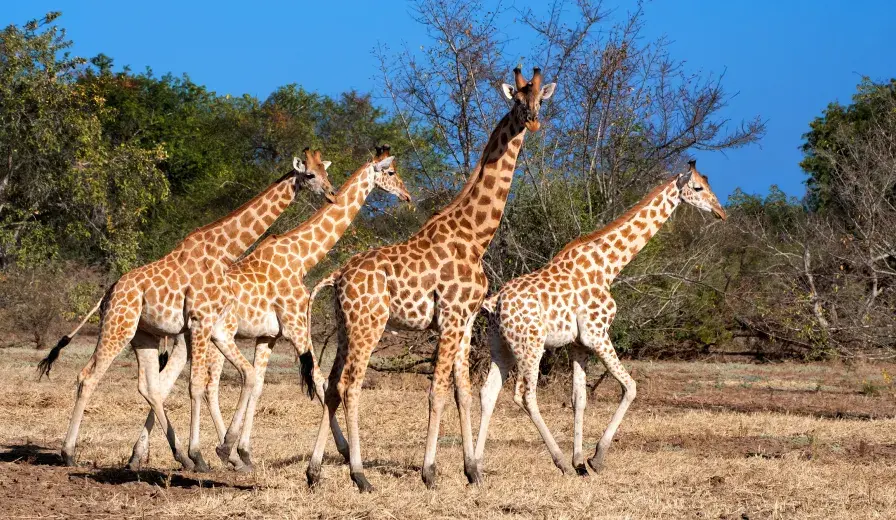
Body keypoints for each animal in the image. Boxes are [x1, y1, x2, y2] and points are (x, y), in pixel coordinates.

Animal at [37, 149, 336, 471]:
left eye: (326, 172)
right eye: (310, 175)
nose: (332, 194)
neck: (222, 252)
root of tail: (108, 293)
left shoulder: (205, 326)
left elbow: (211, 382)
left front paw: (206, 453)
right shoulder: (200, 321)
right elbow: (196, 386)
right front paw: (202, 454)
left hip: (144, 336)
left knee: (149, 387)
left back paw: (173, 454)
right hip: (118, 327)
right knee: (88, 376)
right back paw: (69, 453)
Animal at [127, 146, 411, 470]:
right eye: (390, 172)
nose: (406, 195)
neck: (301, 258)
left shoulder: (269, 335)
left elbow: (261, 383)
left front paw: (243, 451)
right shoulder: (297, 325)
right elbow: (319, 380)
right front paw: (342, 449)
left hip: (186, 339)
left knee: (163, 384)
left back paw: (141, 455)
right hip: (210, 339)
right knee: (201, 385)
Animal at [305, 67, 557, 492]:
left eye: (541, 99)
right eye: (518, 100)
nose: (534, 121)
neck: (475, 236)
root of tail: (337, 276)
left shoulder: (466, 321)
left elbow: (463, 393)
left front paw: (473, 471)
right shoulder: (452, 318)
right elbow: (436, 392)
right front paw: (430, 471)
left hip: (345, 326)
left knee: (332, 385)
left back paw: (314, 471)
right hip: (369, 325)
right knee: (350, 385)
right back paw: (360, 476)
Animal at [472, 160, 726, 479]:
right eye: (698, 187)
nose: (721, 212)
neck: (608, 266)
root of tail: (494, 303)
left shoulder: (579, 343)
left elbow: (579, 399)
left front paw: (580, 461)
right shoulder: (597, 334)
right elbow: (630, 387)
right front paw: (596, 458)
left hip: (501, 347)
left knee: (488, 392)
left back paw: (475, 468)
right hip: (530, 345)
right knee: (525, 396)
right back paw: (557, 461)